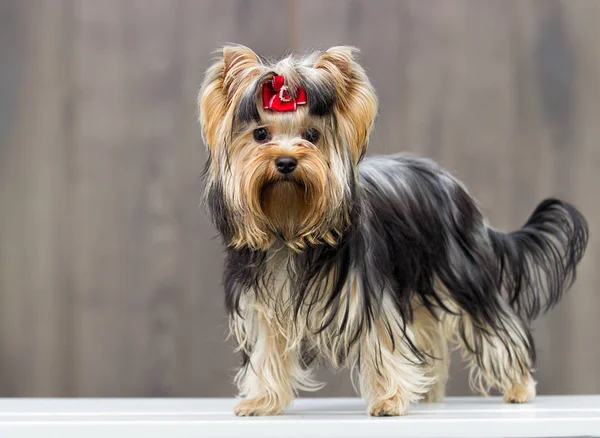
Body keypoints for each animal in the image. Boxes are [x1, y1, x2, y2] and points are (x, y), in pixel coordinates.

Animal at [199, 45, 588, 418]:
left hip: (462, 275)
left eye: (312, 135)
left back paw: (519, 388)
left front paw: (389, 401)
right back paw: (428, 391)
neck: (289, 228)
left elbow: (384, 343)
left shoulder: (369, 294)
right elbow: (266, 351)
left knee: (498, 326)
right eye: (260, 134)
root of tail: (456, 189)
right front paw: (261, 402)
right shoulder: (263, 305)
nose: (285, 161)